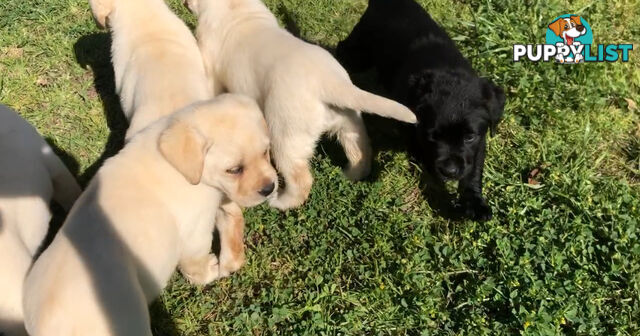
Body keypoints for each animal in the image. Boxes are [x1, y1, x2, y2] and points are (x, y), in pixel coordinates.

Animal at [23, 95, 278, 336]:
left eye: (266, 152)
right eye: (234, 170)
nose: (270, 188)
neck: (177, 165)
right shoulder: (196, 231)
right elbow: (194, 262)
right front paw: (210, 271)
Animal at [186, 0, 416, 211]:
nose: (186, 3)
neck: (237, 8)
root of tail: (329, 81)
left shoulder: (210, 63)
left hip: (285, 134)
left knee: (300, 178)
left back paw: (281, 202)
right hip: (348, 121)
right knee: (360, 151)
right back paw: (350, 174)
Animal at [338, 0, 508, 220]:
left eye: (469, 137)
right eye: (432, 136)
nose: (450, 171)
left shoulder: (479, 140)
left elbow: (473, 169)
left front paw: (474, 202)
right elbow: (417, 145)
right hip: (361, 50)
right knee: (343, 50)